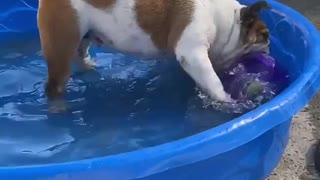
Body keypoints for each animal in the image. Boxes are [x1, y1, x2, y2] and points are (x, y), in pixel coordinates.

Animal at [38, 0, 272, 110]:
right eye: (265, 35)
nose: (270, 46)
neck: (225, 19)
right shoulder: (193, 53)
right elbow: (214, 82)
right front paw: (227, 102)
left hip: (84, 35)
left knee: (81, 53)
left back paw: (89, 67)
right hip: (61, 43)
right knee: (55, 85)